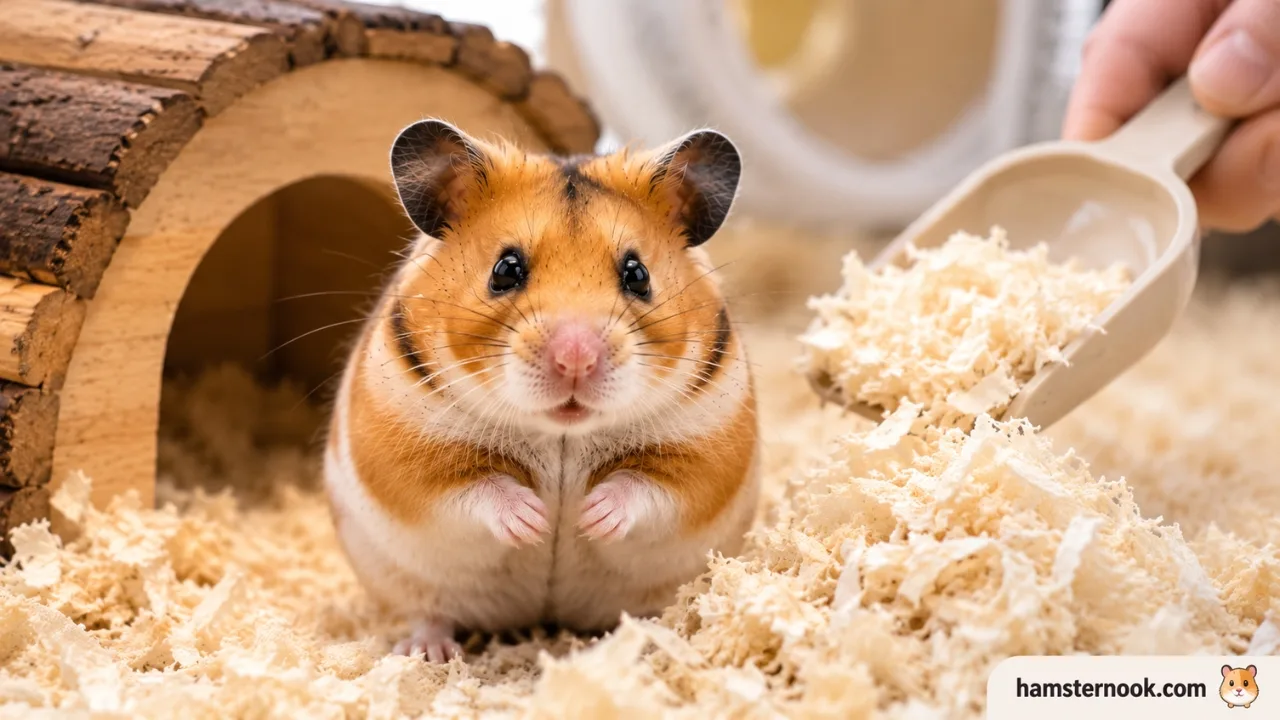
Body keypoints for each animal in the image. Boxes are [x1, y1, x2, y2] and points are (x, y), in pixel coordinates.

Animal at [323, 119, 759, 662]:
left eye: (637, 274)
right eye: (505, 269)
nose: (575, 358)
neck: (561, 434)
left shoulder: (705, 453)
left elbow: (647, 486)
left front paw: (586, 517)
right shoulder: (408, 453)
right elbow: (475, 488)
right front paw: (537, 520)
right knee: (430, 613)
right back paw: (428, 652)